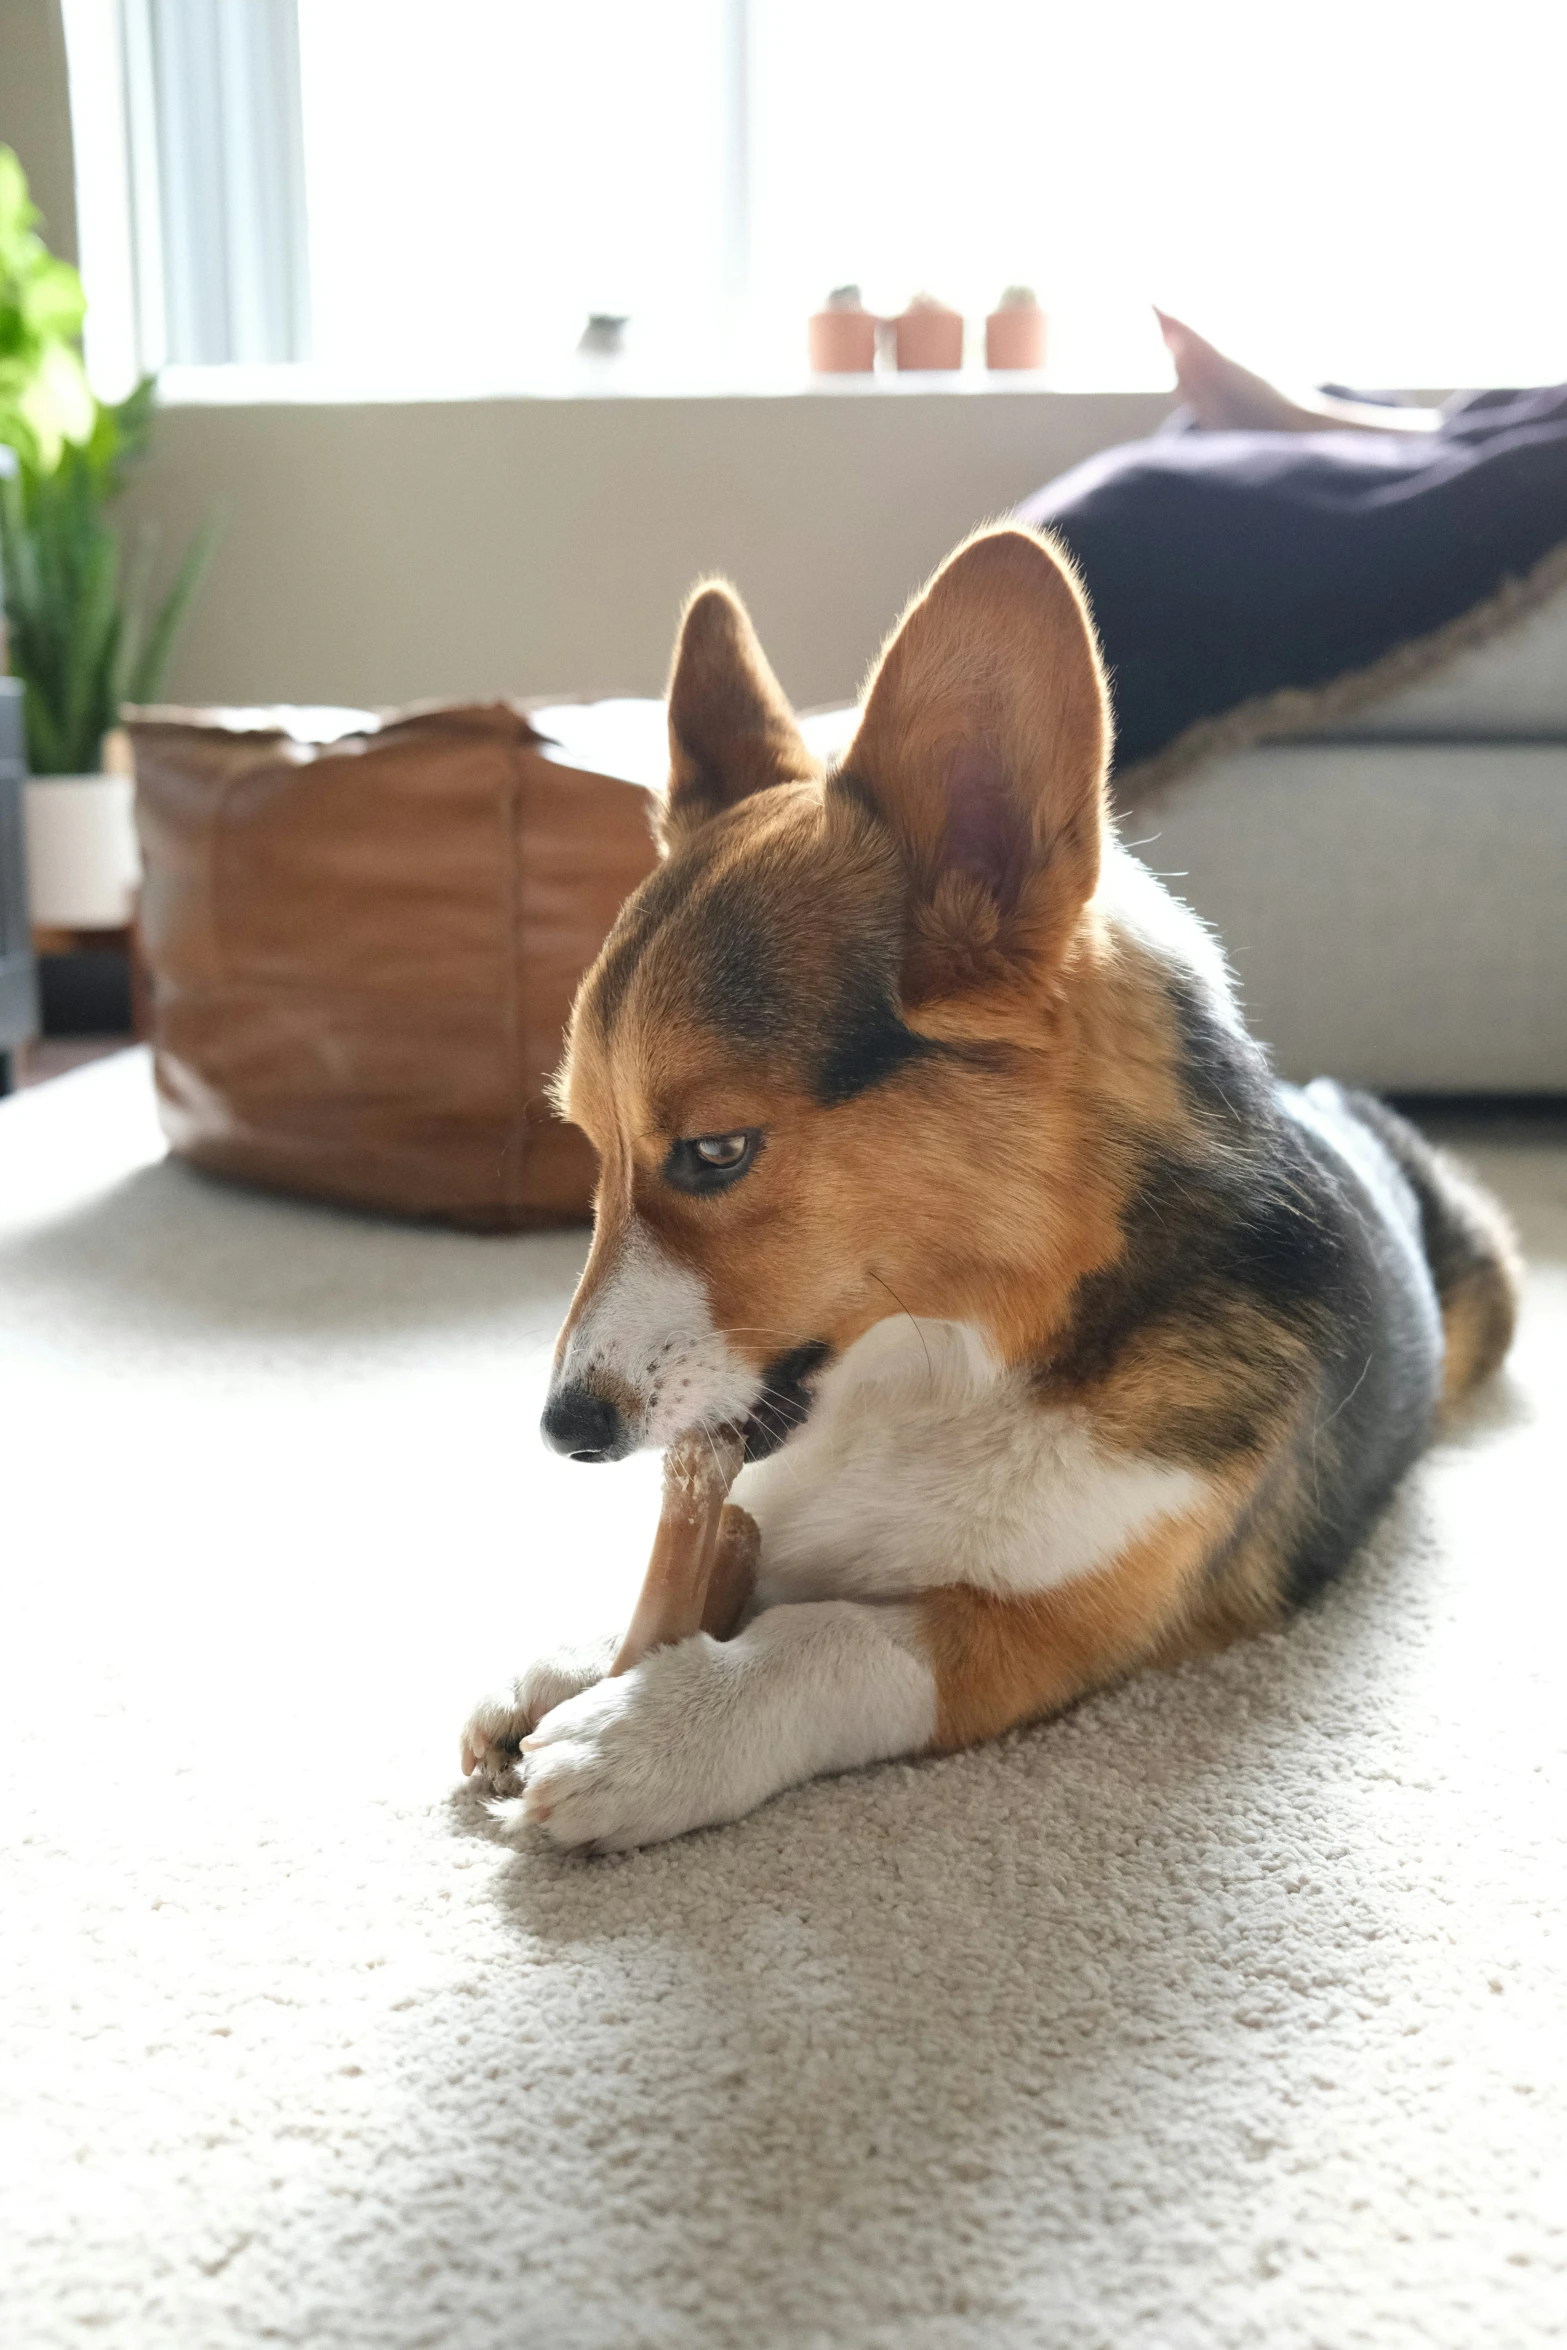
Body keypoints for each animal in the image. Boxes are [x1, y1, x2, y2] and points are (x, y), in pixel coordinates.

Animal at [455, 524, 1522, 1842]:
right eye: (589, 1147)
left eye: (715, 1151)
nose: (564, 1431)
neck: (944, 1362)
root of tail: (1347, 1103)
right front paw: (580, 1654)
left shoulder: (1035, 1634)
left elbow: (824, 1642)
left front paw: (646, 1731)